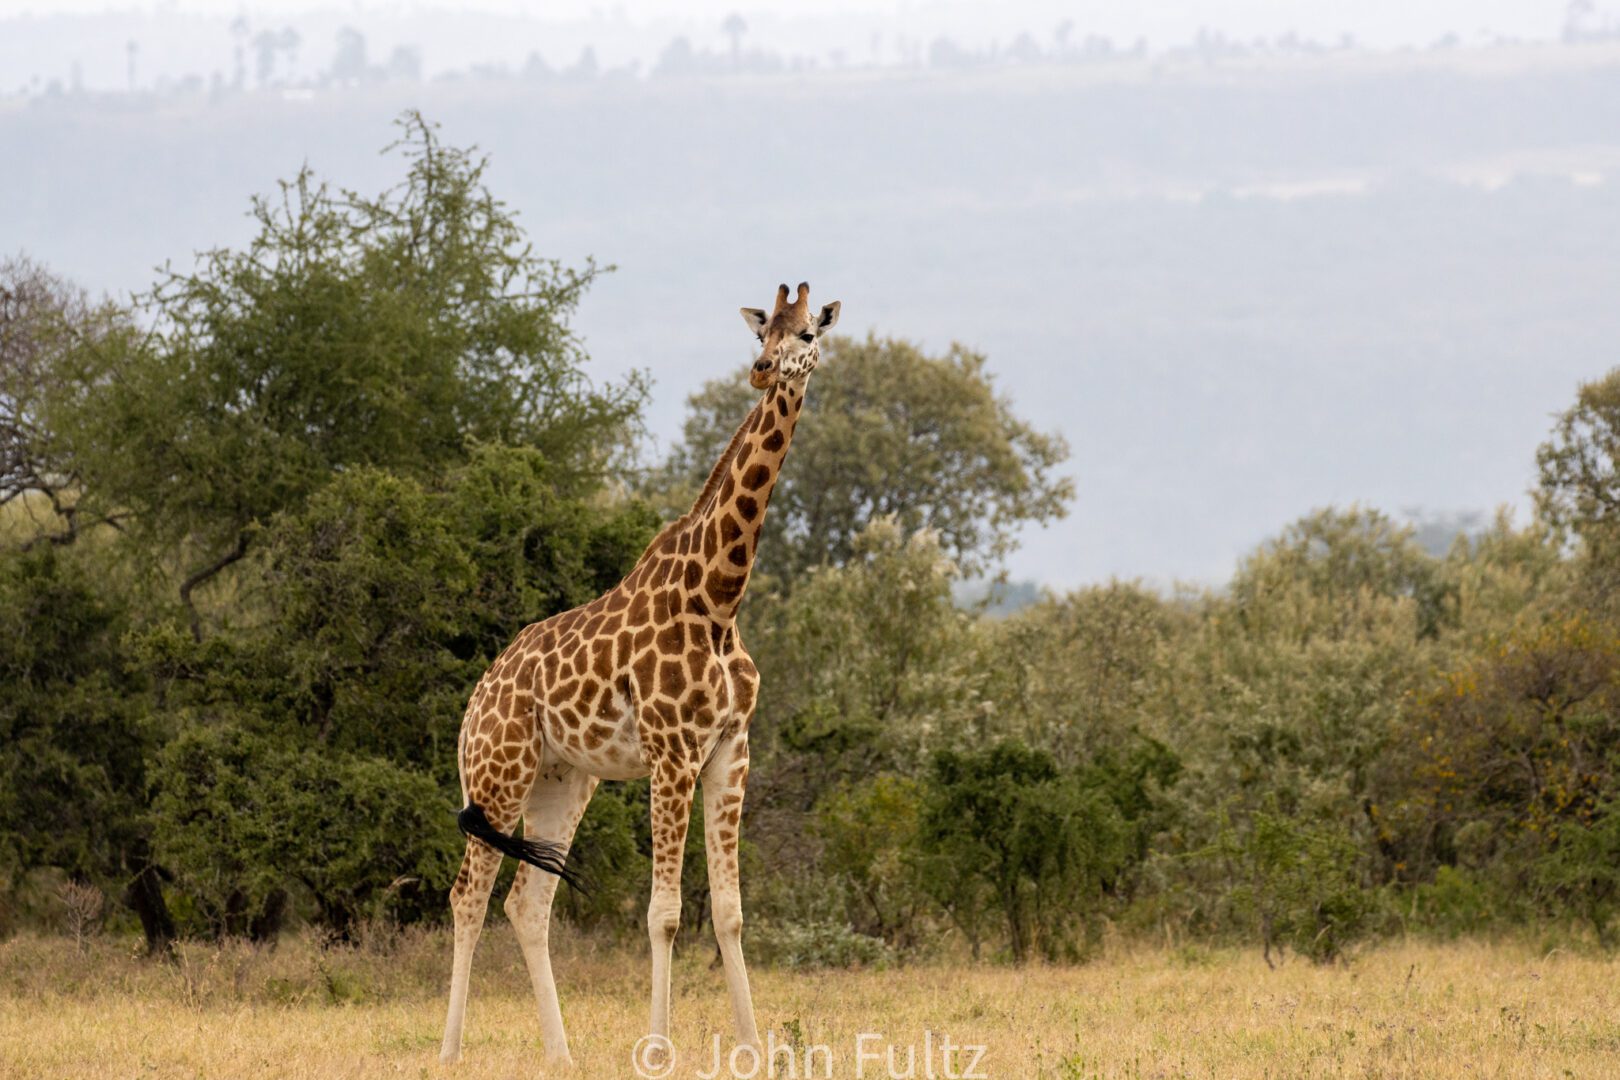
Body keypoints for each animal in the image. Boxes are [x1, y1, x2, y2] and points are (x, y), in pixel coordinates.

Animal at [443, 283, 848, 1068]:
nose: (762, 370)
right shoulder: (672, 753)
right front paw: (658, 1051)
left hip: (564, 781)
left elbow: (730, 912)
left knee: (525, 903)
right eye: (764, 332)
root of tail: (476, 702)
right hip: (499, 776)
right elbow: (663, 913)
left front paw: (751, 1050)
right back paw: (448, 1054)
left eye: (807, 333)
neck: (719, 597)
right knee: (467, 896)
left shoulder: (730, 751)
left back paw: (562, 1056)